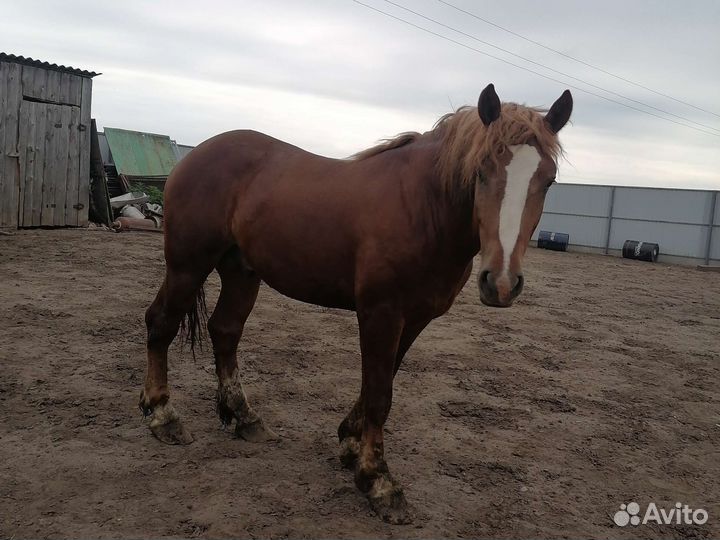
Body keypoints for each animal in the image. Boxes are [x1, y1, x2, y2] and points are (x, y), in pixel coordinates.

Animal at [139, 83, 573, 523]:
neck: (422, 207)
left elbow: (380, 384)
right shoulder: (381, 313)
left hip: (242, 272)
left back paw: (244, 417)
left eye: (548, 180)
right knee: (161, 323)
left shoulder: (414, 319)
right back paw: (163, 417)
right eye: (482, 169)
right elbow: (380, 395)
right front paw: (379, 481)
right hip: (187, 266)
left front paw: (350, 443)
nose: (501, 283)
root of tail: (196, 155)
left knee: (225, 331)